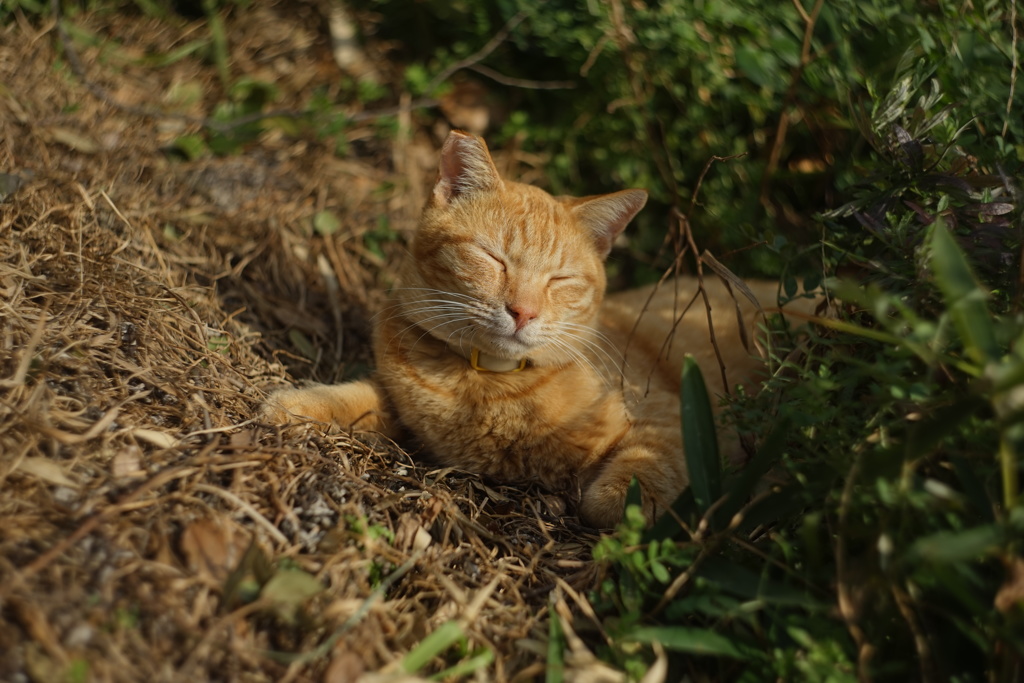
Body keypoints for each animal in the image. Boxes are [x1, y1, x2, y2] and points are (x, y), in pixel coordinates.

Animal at [268, 132, 811, 528]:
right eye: (492, 258)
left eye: (559, 280)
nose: (523, 311)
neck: (487, 385)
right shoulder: (401, 410)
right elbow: (352, 399)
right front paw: (295, 405)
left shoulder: (676, 423)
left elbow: (628, 487)